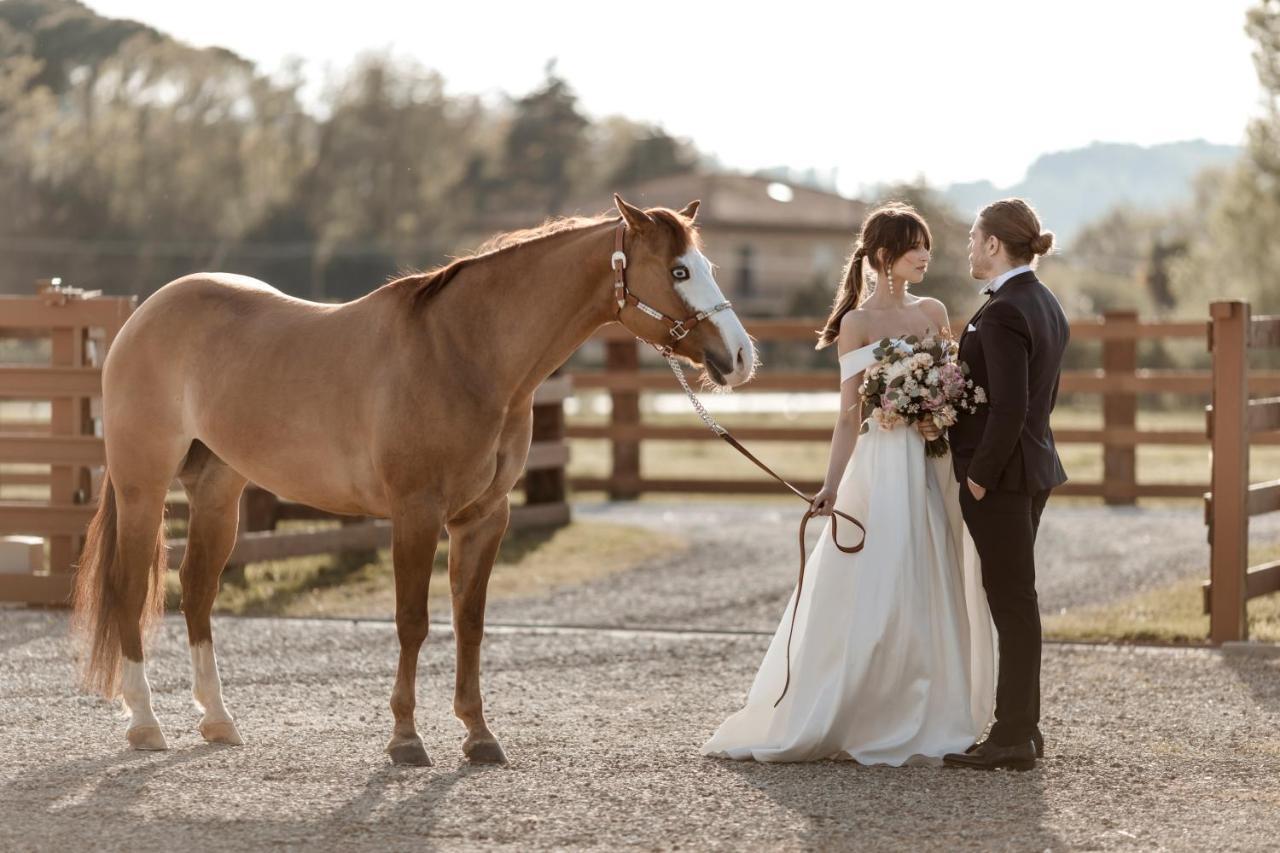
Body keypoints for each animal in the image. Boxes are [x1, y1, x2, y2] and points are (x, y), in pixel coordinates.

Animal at [70, 194, 752, 763]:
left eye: (705, 264)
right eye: (679, 272)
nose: (742, 357)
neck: (464, 354)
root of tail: (145, 314)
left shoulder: (485, 517)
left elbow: (469, 622)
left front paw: (479, 736)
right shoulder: (416, 512)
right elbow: (413, 620)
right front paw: (405, 739)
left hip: (218, 491)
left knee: (197, 591)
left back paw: (217, 721)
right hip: (143, 485)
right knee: (129, 587)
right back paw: (145, 724)